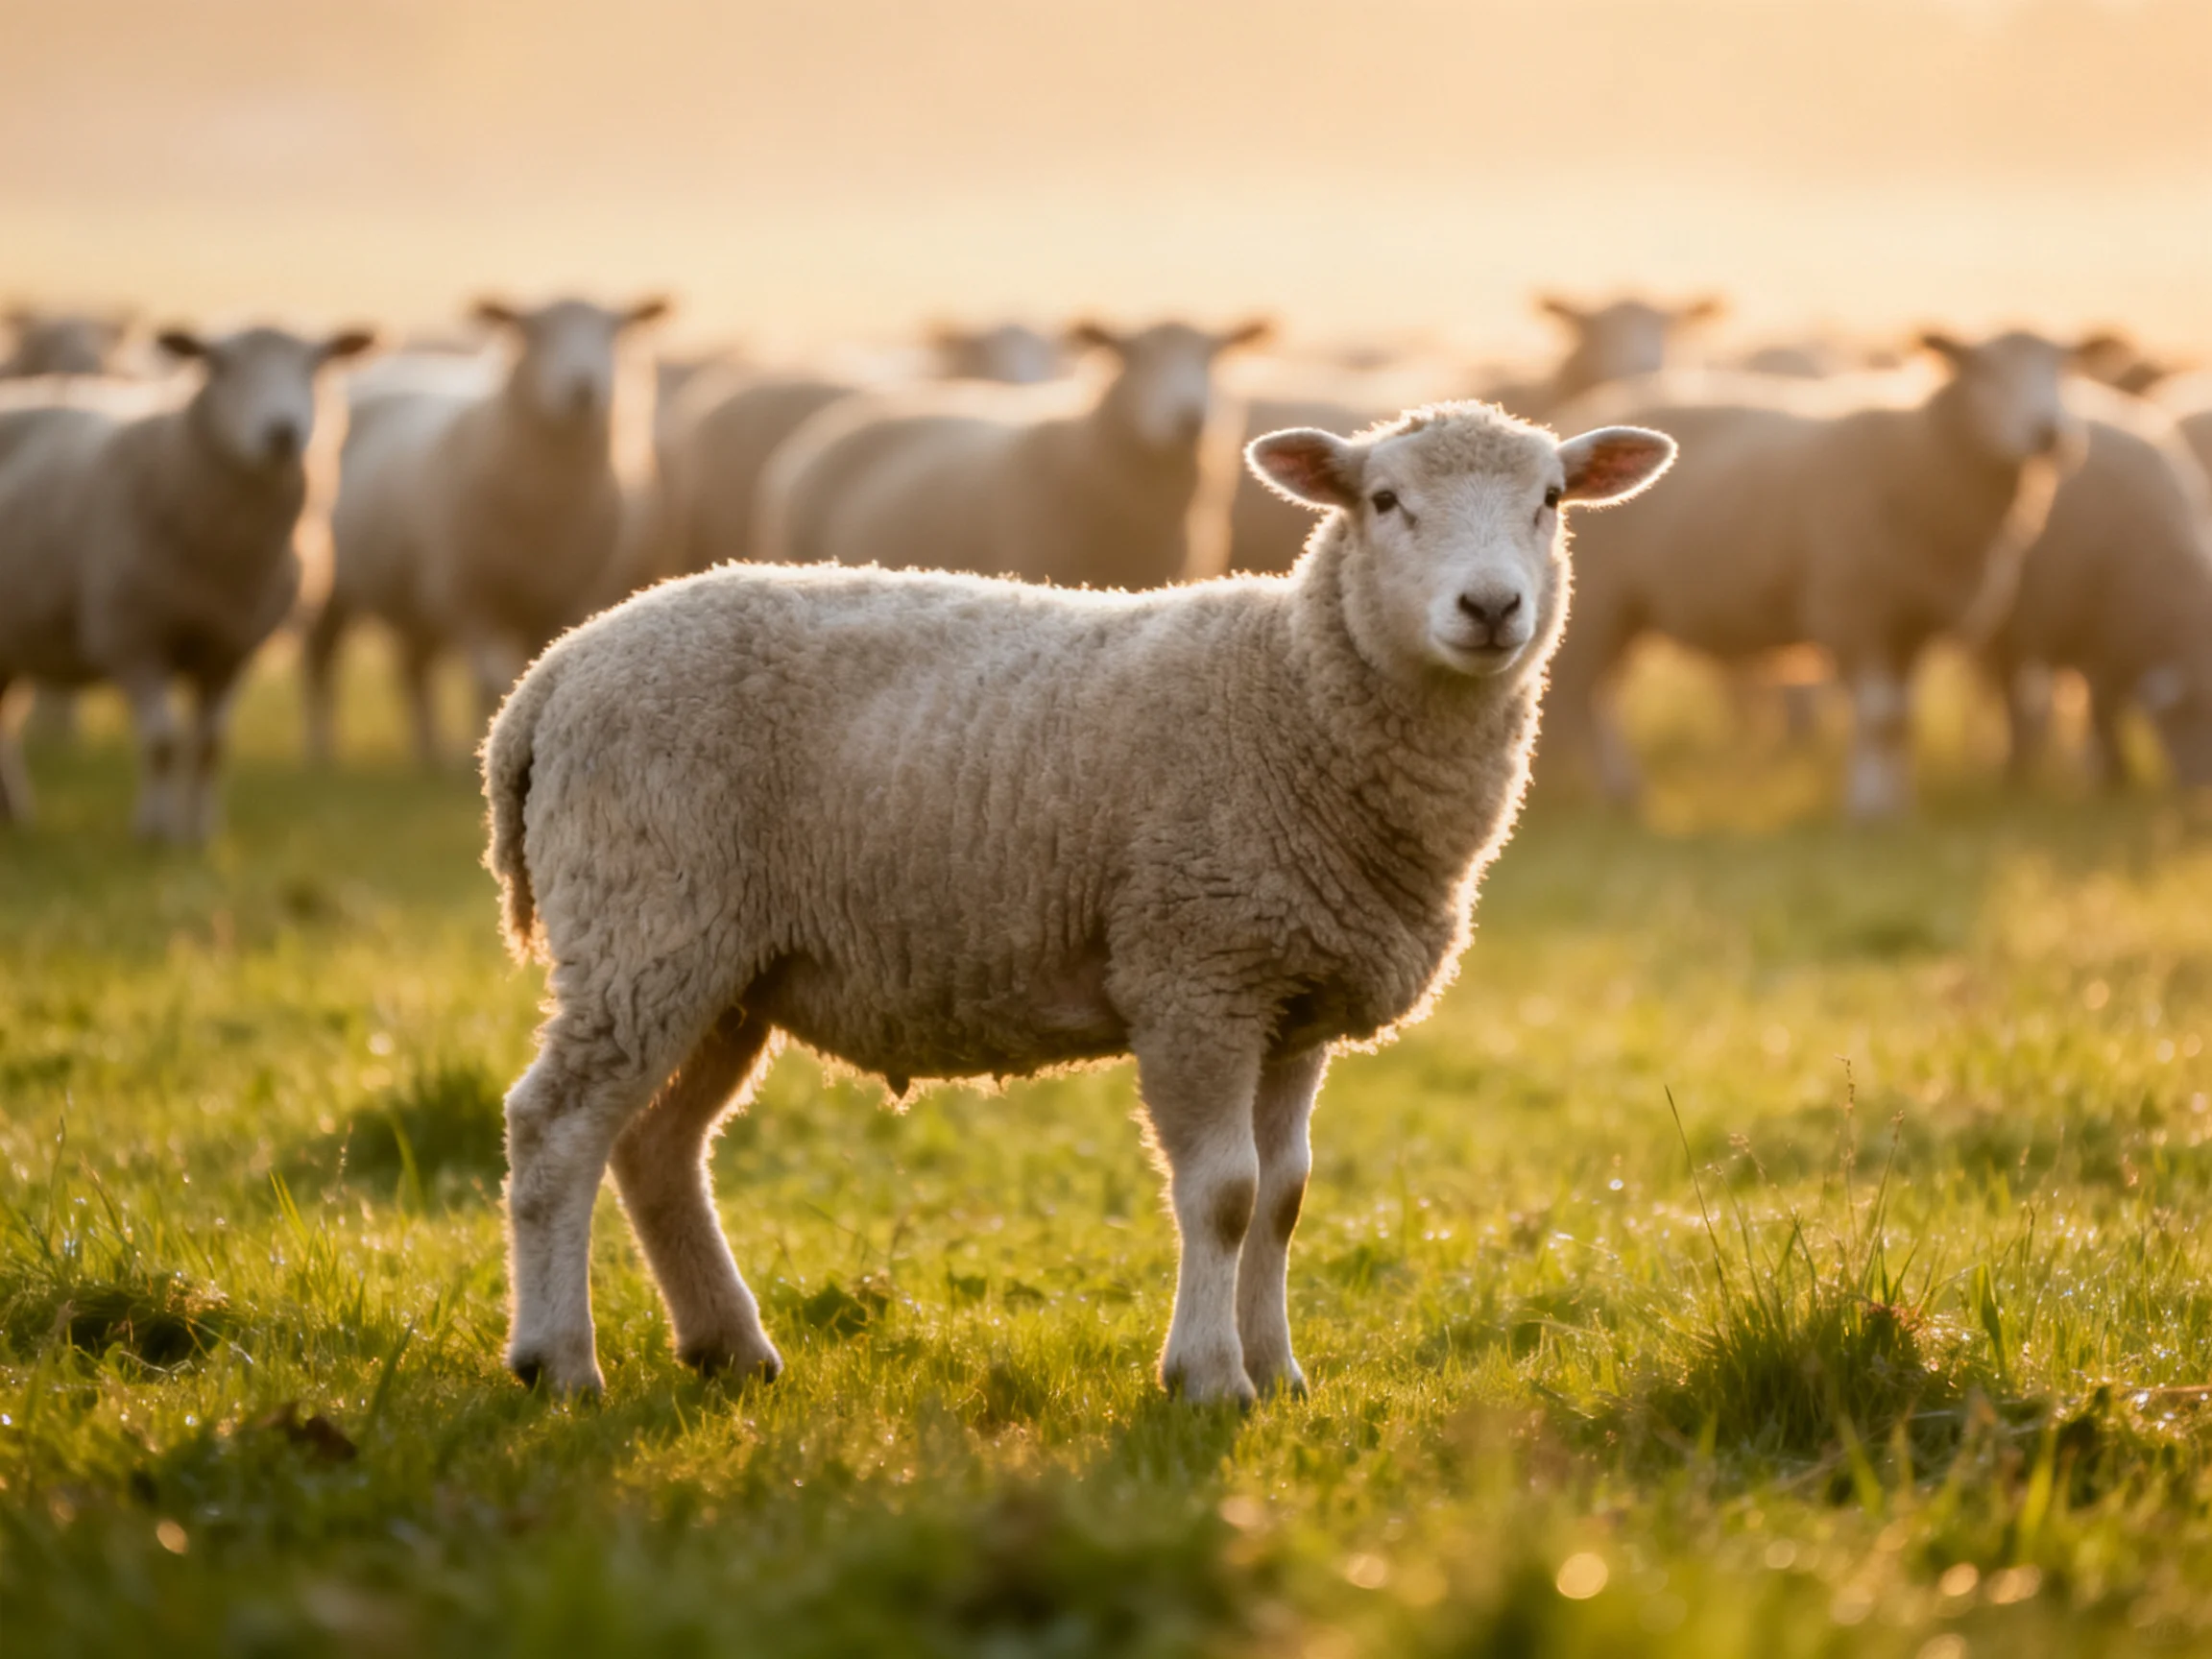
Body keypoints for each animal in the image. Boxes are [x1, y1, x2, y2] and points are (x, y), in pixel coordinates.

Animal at [0, 323, 375, 839]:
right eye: (218, 365)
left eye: (315, 364)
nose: (282, 433)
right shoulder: (130, 636)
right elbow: (162, 741)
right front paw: (155, 832)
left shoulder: (232, 647)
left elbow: (210, 745)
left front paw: (200, 833)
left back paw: (15, 813)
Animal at [305, 296, 668, 766]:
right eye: (533, 331)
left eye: (615, 331)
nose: (583, 389)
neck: (546, 506)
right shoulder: (466, 593)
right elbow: (486, 680)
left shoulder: (558, 598)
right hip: (333, 584)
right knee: (321, 662)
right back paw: (322, 750)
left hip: (412, 600)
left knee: (414, 668)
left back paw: (429, 752)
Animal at [477, 401, 1676, 1403]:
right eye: (1384, 500)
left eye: (1551, 500)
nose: (1491, 606)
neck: (1293, 690)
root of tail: (551, 676)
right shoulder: (1195, 970)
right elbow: (1225, 1192)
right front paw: (1208, 1381)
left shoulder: (1291, 999)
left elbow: (1285, 1195)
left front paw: (1279, 1372)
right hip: (647, 913)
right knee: (557, 1125)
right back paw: (559, 1362)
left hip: (726, 963)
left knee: (656, 1146)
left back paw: (728, 1346)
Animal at [1542, 330, 2083, 818]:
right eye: (1984, 371)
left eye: (2063, 370)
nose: (2049, 434)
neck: (1923, 455)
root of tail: (1578, 421)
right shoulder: (1850, 606)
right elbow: (1879, 715)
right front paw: (1868, 810)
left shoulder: (1912, 623)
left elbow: (1902, 719)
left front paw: (1899, 805)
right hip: (1600, 603)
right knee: (1578, 697)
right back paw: (1601, 792)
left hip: (1621, 613)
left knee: (1595, 697)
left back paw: (1612, 792)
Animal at [1985, 389, 2212, 787]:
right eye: (2191, 715)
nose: (2201, 790)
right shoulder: (2099, 638)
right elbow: (2104, 710)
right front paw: (2115, 778)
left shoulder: (2118, 639)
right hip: (2011, 623)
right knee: (2010, 693)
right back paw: (2016, 767)